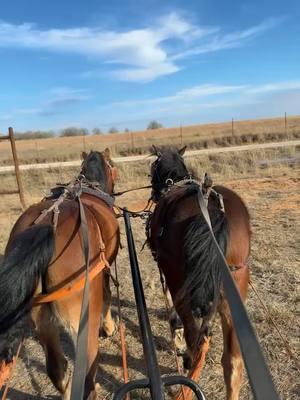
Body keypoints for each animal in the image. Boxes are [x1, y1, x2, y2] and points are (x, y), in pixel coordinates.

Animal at [0, 148, 119, 398]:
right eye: (112, 166)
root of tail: (46, 227)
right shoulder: (104, 270)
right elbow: (108, 295)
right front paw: (109, 327)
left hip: (42, 321)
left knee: (58, 370)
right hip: (81, 320)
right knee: (86, 375)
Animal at [147, 146, 251, 400]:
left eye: (153, 168)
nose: (153, 194)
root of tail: (211, 209)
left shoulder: (166, 271)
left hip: (182, 285)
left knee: (195, 341)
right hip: (235, 291)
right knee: (233, 362)